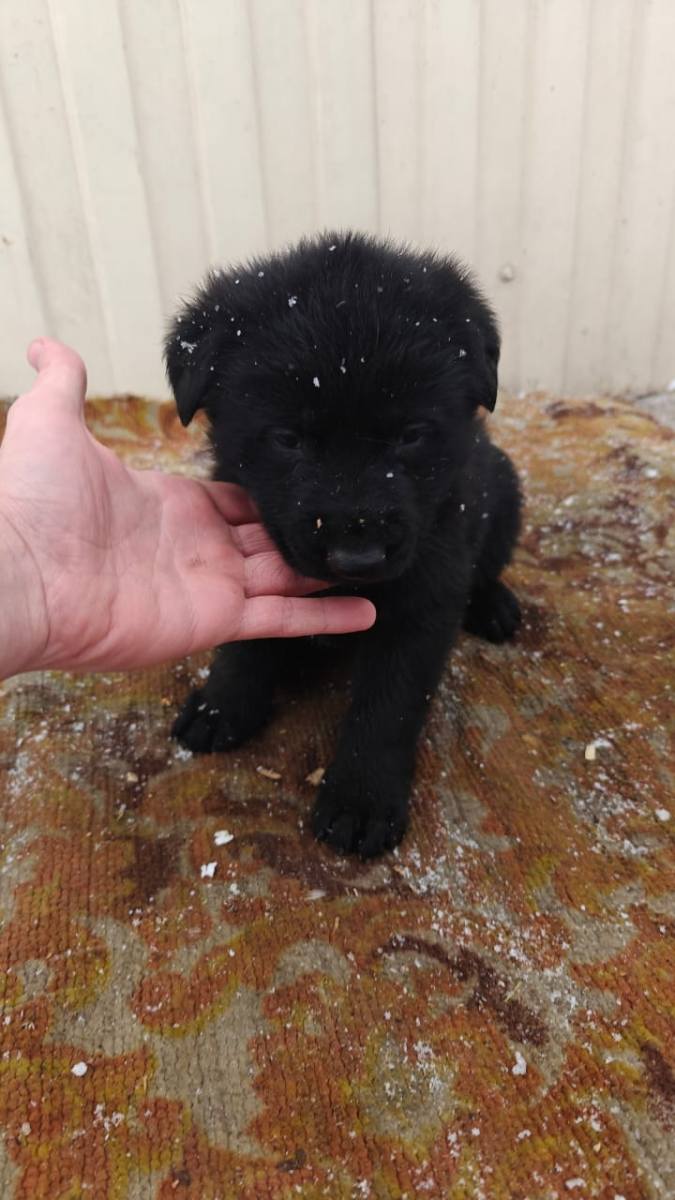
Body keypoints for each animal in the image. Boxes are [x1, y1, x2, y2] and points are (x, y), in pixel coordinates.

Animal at [165, 231, 522, 858]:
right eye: (287, 439)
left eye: (411, 435)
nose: (358, 558)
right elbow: (243, 642)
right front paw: (222, 702)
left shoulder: (423, 599)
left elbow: (387, 706)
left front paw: (361, 799)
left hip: (502, 494)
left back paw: (493, 606)